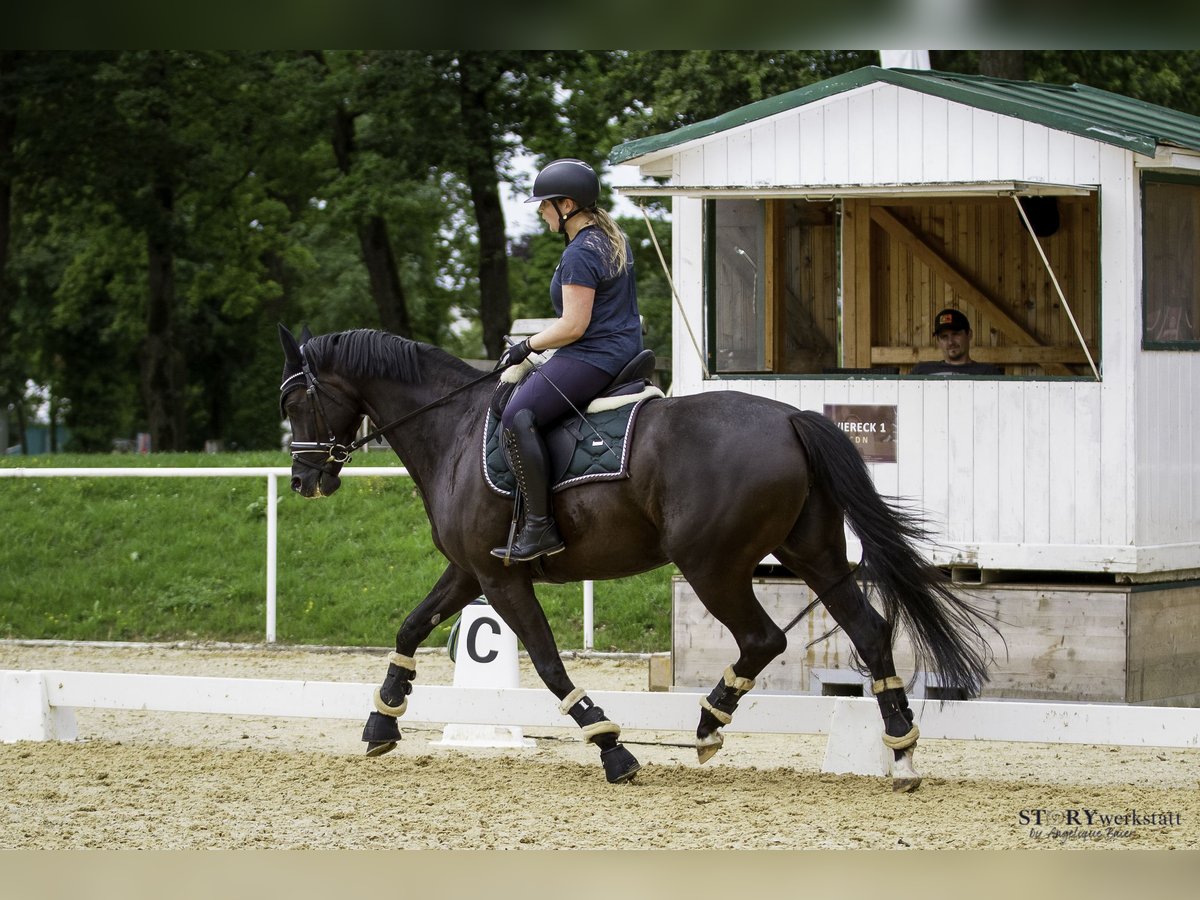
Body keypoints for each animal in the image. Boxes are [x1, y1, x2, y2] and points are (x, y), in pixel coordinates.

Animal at [278, 328, 993, 792]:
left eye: (292, 402)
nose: (305, 480)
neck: (450, 429)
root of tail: (790, 418)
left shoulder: (501, 576)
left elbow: (547, 661)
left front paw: (611, 749)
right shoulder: (469, 570)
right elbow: (411, 626)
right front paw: (382, 719)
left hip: (712, 564)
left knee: (763, 637)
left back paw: (708, 722)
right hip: (812, 554)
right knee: (869, 629)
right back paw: (900, 752)